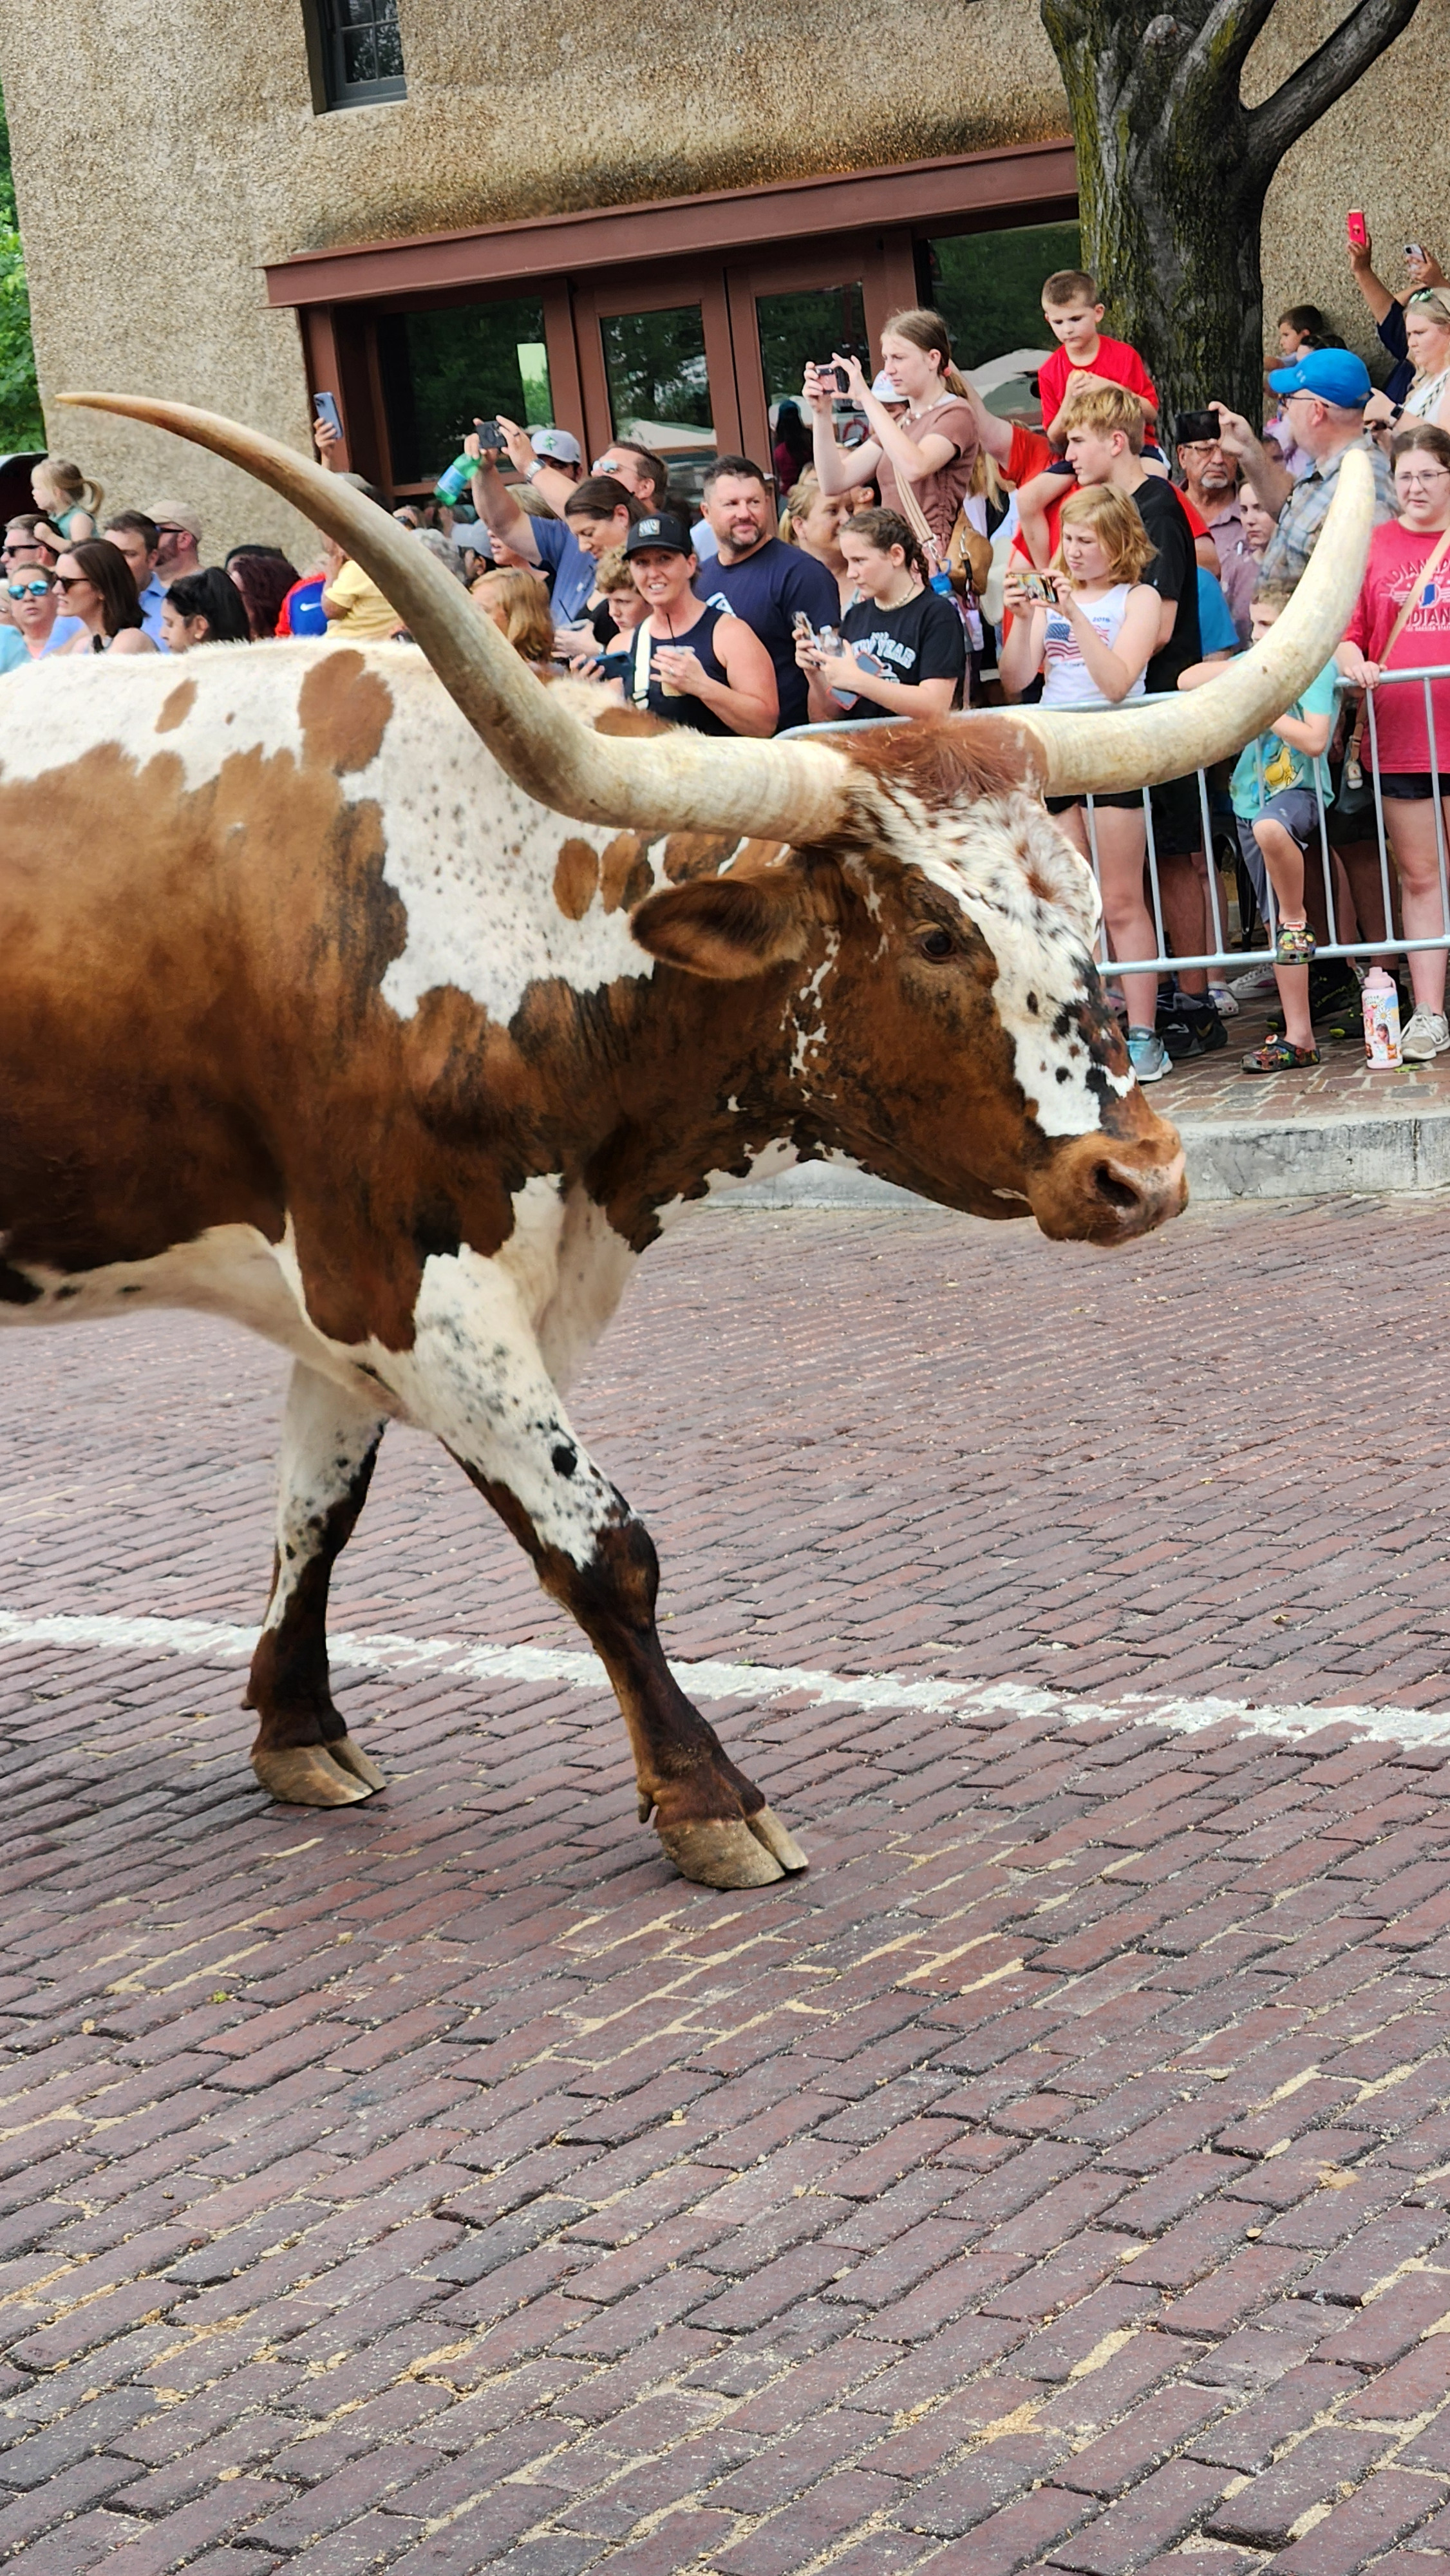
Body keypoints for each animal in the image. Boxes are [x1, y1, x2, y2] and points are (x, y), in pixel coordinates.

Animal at [0, 399, 1372, 1888]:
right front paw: (710, 1796)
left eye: (1081, 898)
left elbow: (318, 1511)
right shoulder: (401, 1284)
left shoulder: (353, 1287)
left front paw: (298, 1729)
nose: (1142, 1176)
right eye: (936, 934)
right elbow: (601, 1547)